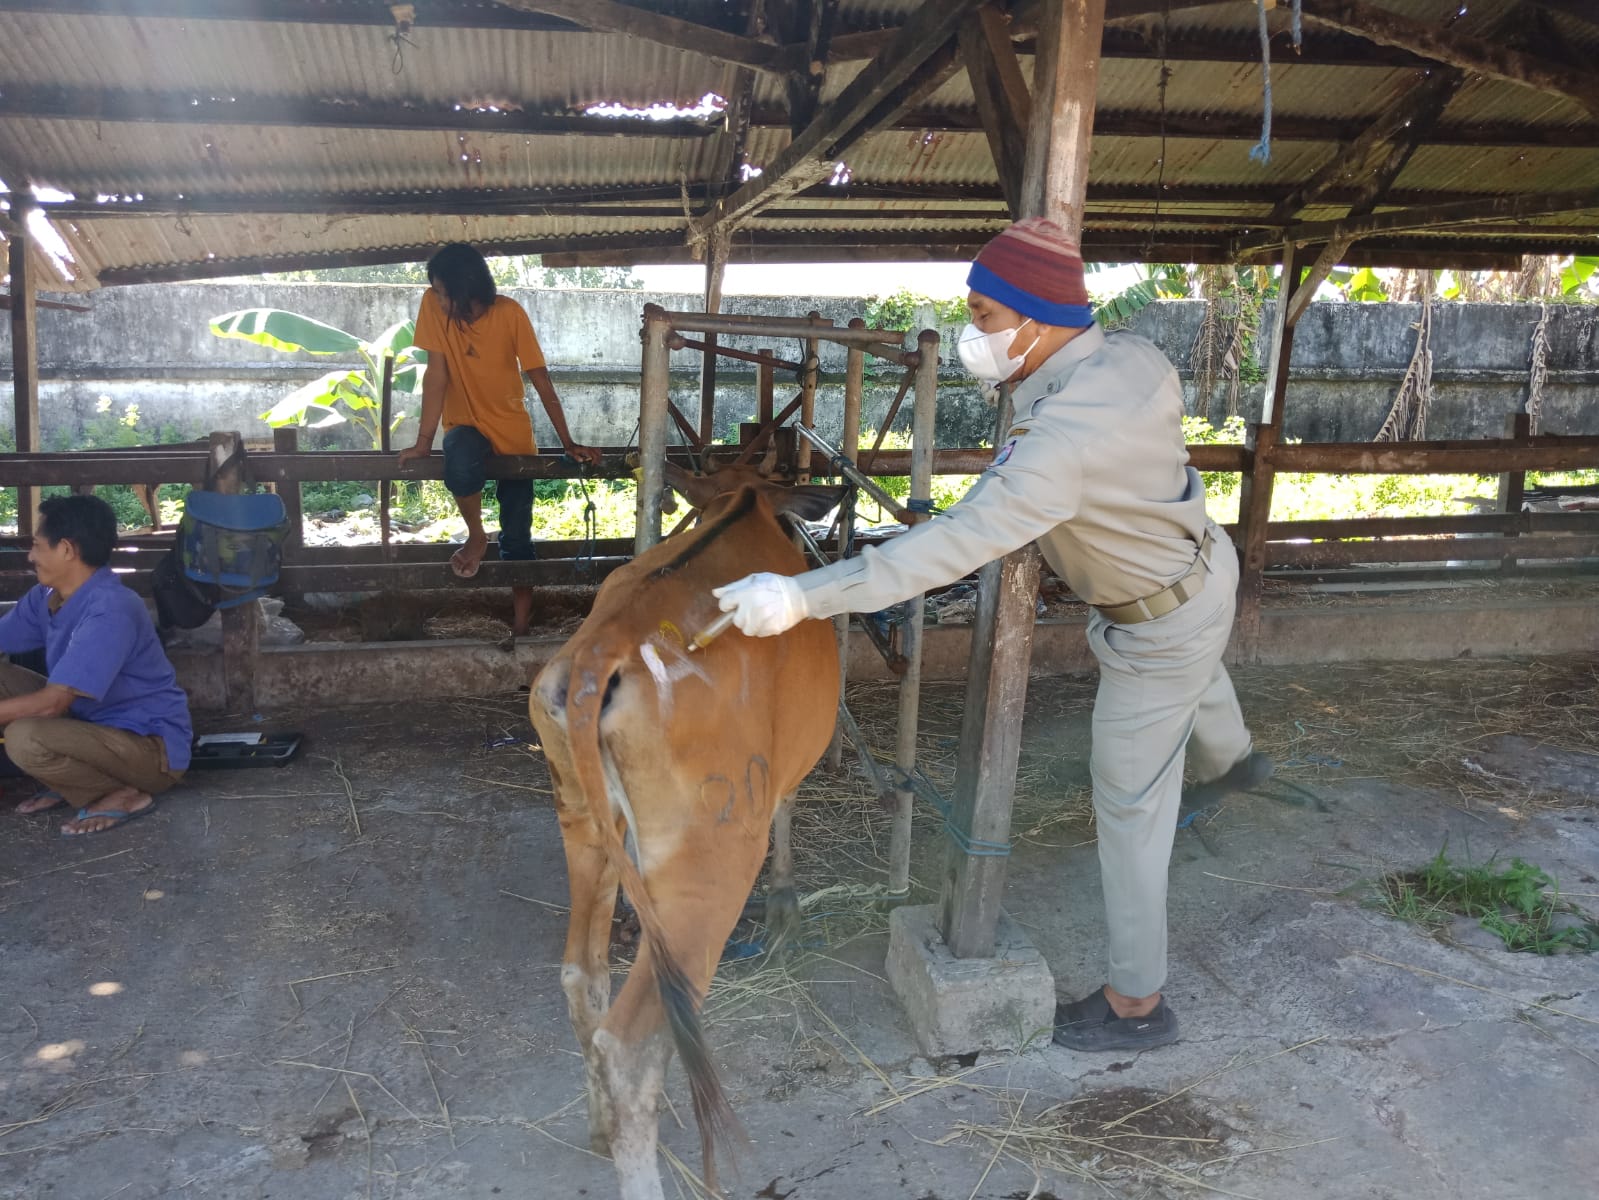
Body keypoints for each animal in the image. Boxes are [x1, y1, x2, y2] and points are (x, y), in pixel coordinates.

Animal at [527, 464, 850, 1200]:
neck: (747, 506)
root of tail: (602, 646)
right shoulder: (783, 772)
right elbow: (787, 814)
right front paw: (785, 911)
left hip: (581, 818)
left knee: (582, 976)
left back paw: (600, 1130)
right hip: (712, 857)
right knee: (629, 1044)